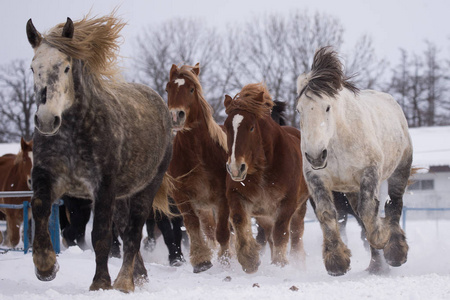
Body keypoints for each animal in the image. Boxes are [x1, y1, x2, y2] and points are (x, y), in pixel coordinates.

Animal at [165, 63, 230, 274]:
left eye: (191, 89)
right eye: (168, 89)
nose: (175, 115)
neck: (199, 153)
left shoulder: (223, 198)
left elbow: (223, 232)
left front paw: (227, 261)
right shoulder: (182, 196)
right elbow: (193, 226)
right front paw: (201, 260)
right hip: (204, 207)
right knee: (208, 230)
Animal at [222, 83, 308, 274]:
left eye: (251, 127)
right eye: (226, 127)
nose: (235, 168)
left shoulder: (287, 203)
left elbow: (281, 232)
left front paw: (281, 263)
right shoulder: (237, 195)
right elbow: (239, 220)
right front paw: (249, 259)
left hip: (299, 208)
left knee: (296, 234)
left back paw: (298, 262)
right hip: (265, 216)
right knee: (269, 236)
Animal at [298, 47, 414, 276]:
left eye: (327, 107)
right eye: (299, 110)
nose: (316, 155)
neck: (338, 141)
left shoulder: (369, 172)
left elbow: (369, 211)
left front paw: (382, 237)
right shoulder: (316, 177)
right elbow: (327, 213)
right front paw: (336, 261)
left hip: (400, 168)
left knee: (394, 203)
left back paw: (395, 253)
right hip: (350, 189)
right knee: (362, 215)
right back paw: (376, 265)